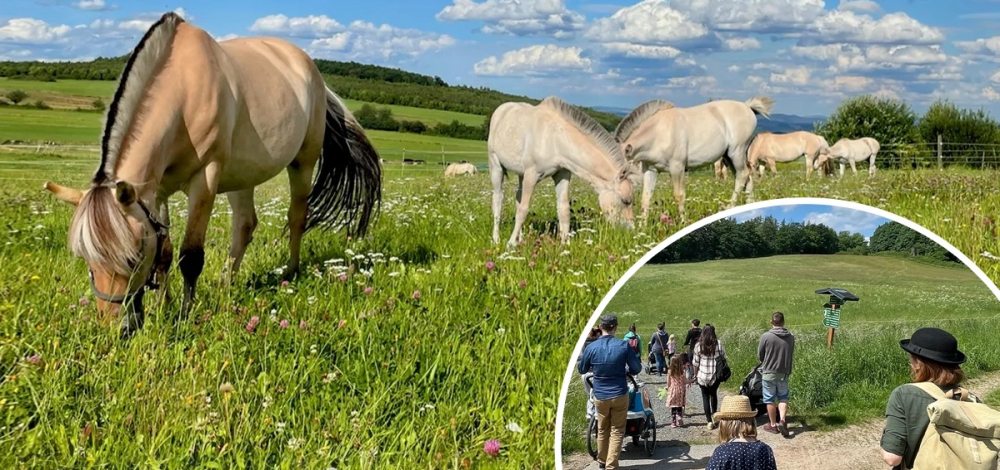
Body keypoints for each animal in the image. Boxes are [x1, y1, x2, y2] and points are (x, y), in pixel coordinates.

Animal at [42, 12, 382, 336]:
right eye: (87, 259)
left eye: (132, 257)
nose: (118, 327)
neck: (183, 90)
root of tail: (310, 70)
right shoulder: (156, 190)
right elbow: (165, 252)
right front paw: (164, 305)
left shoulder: (205, 179)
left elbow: (190, 256)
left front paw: (183, 314)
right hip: (242, 175)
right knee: (245, 225)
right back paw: (226, 283)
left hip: (303, 162)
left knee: (297, 216)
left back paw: (290, 271)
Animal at [488, 96, 636, 246]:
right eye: (625, 201)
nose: (630, 229)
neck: (554, 138)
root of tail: (502, 109)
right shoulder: (531, 175)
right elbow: (523, 210)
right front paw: (510, 244)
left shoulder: (562, 175)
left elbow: (563, 210)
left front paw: (565, 244)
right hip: (496, 166)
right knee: (498, 199)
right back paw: (496, 239)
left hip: (520, 174)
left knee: (518, 198)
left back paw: (521, 238)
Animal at [616, 97, 772, 222]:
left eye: (622, 171)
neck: (659, 132)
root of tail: (747, 107)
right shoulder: (651, 170)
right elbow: (646, 198)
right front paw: (642, 227)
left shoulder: (677, 168)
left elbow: (679, 195)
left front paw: (683, 222)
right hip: (729, 157)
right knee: (747, 177)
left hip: (736, 152)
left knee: (742, 176)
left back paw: (729, 208)